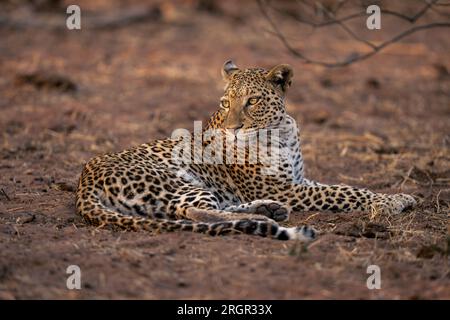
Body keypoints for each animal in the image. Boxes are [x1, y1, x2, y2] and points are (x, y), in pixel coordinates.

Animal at [75, 60, 416, 240]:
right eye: (226, 103)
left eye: (252, 101)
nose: (233, 128)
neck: (281, 129)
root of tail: (84, 181)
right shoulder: (284, 188)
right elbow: (345, 192)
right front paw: (392, 201)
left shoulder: (297, 182)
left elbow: (343, 186)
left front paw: (396, 197)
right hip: (177, 182)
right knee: (194, 212)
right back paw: (266, 221)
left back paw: (268, 211)